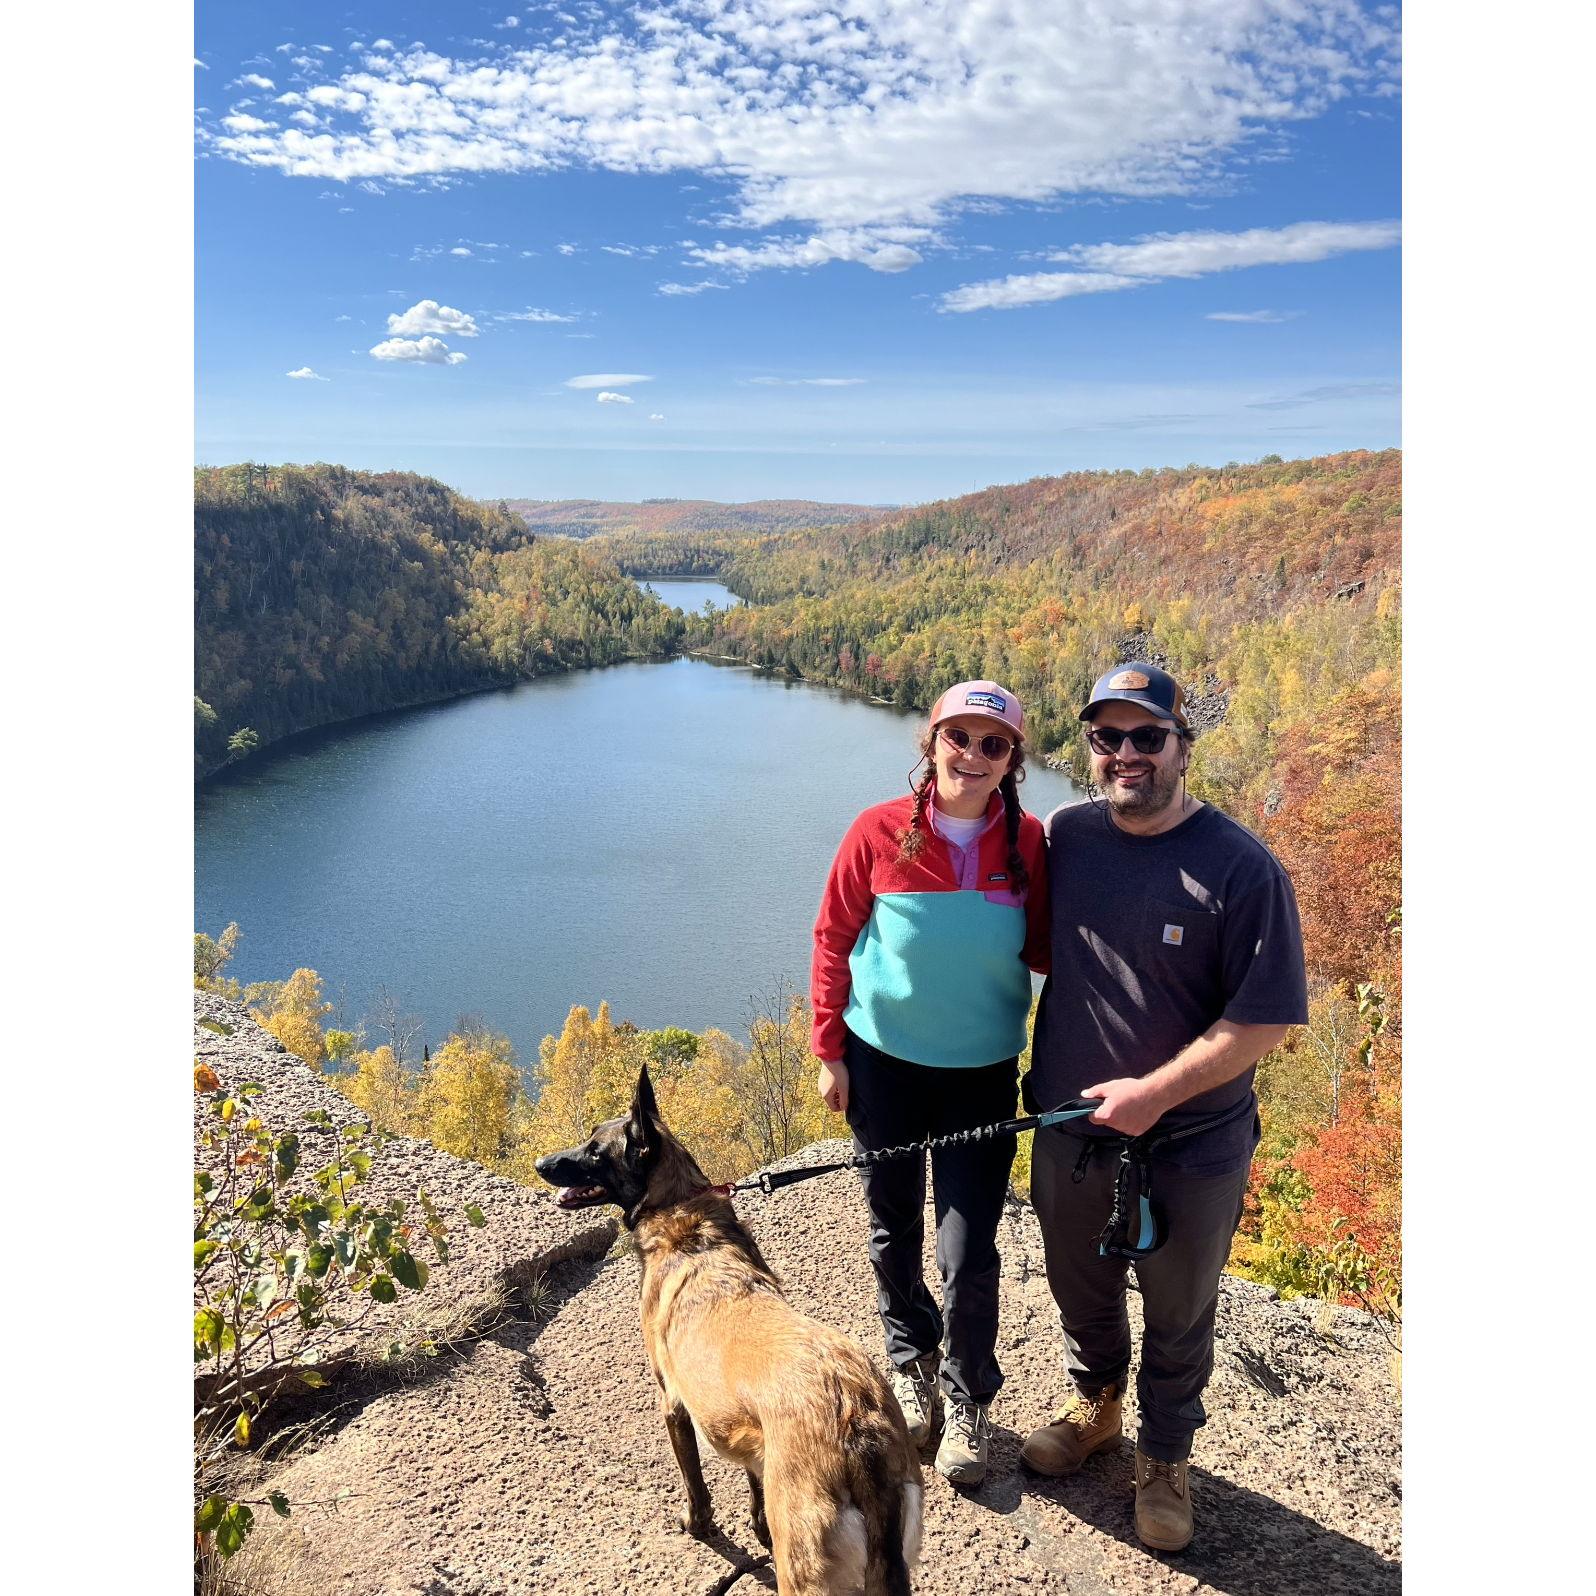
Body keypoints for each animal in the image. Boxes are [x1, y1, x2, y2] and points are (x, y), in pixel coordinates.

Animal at [536, 1066, 925, 1589]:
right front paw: (757, 1526)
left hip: (805, 1571)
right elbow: (754, 1482)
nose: (541, 1163)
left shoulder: (673, 1405)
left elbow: (695, 1484)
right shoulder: (747, 1435)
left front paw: (697, 1525)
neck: (682, 1214)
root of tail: (858, 1426)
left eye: (596, 1151)